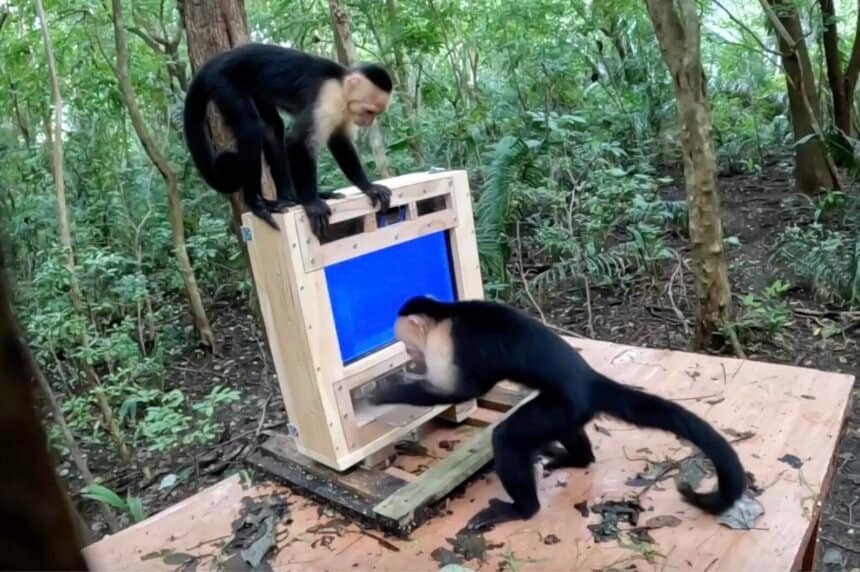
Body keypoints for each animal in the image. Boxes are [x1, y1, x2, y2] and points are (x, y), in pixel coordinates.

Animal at [183, 43, 393, 238]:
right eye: (369, 111)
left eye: (375, 113)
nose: (369, 122)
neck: (341, 85)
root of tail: (215, 61)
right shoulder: (328, 98)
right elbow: (298, 142)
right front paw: (312, 203)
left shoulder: (345, 111)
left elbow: (339, 142)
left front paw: (368, 187)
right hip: (224, 82)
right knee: (250, 130)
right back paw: (256, 203)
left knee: (273, 129)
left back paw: (290, 197)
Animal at [369, 296, 746, 532]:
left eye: (408, 344)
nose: (410, 356)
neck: (447, 315)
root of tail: (589, 378)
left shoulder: (446, 345)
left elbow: (461, 392)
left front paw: (383, 392)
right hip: (571, 409)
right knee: (565, 430)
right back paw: (576, 458)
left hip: (567, 404)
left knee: (507, 437)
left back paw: (522, 509)